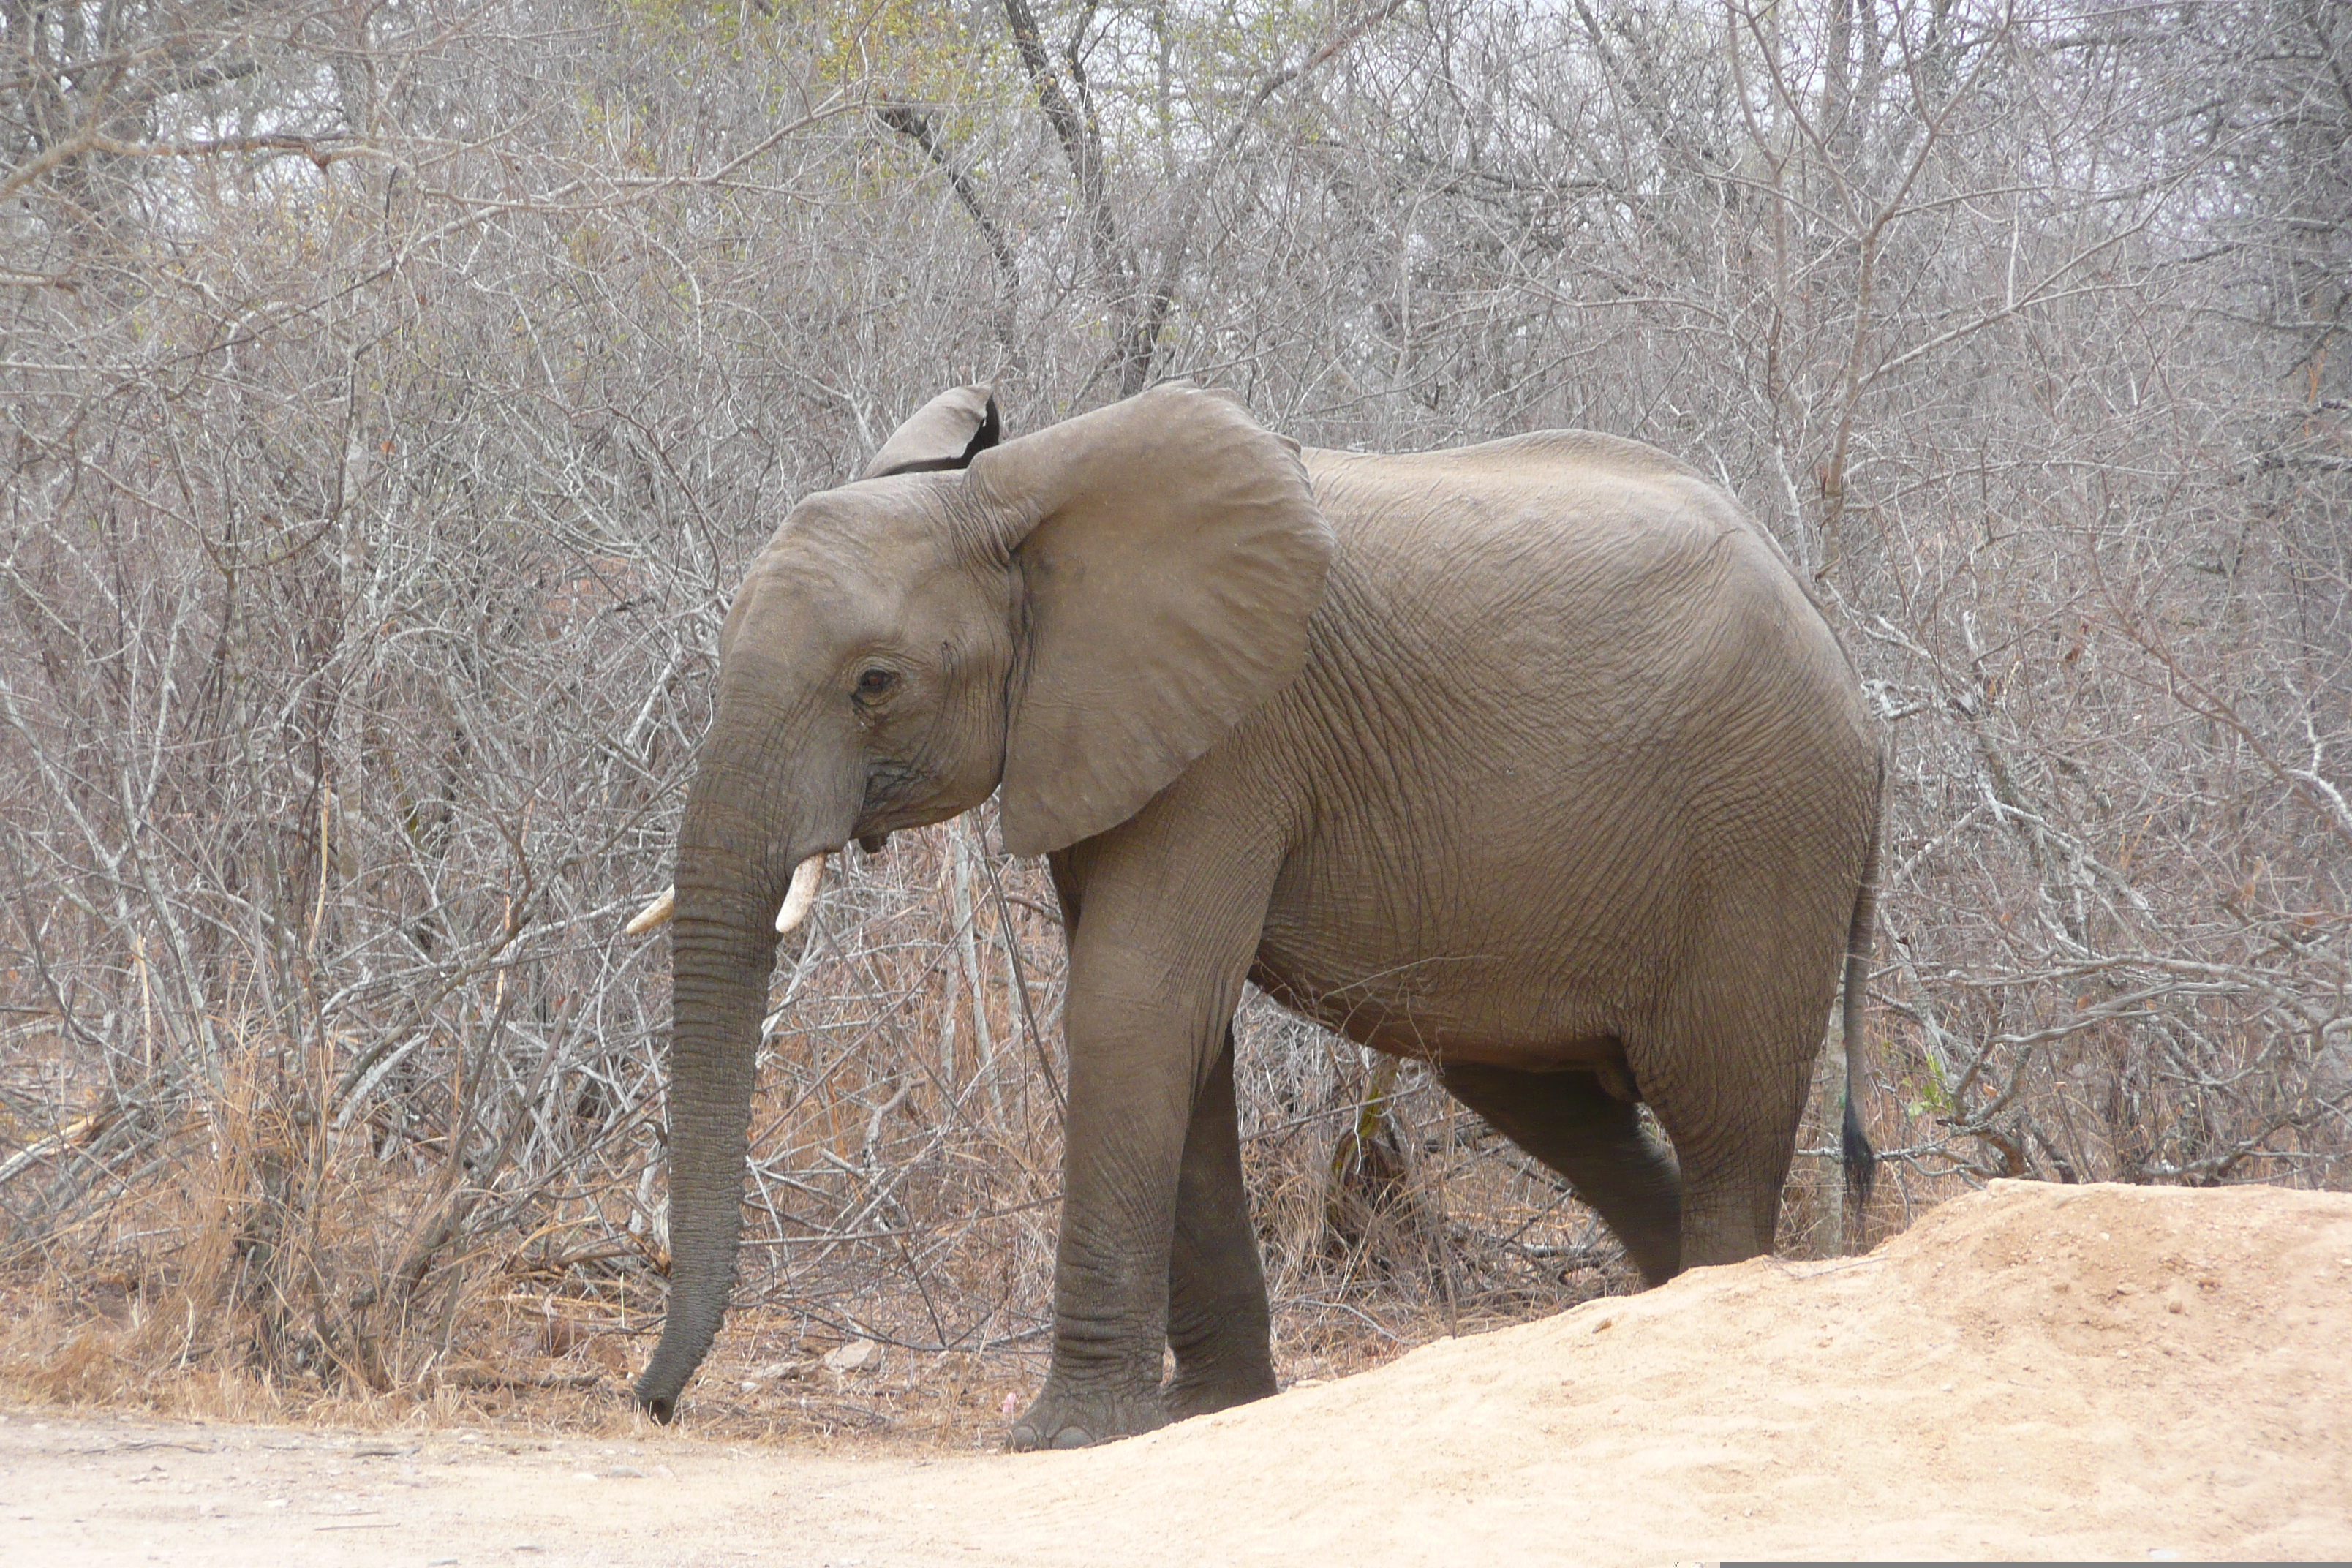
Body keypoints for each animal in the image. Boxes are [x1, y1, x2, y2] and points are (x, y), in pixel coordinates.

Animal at [621, 380, 1872, 1448]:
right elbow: (1180, 1032)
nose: (654, 1403)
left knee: (1725, 1118)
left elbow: (1132, 1008)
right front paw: (1208, 1411)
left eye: (875, 684)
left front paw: (1062, 1437)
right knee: (1546, 1102)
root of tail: (1841, 651)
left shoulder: (1237, 741)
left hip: (1765, 835)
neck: (1015, 502)